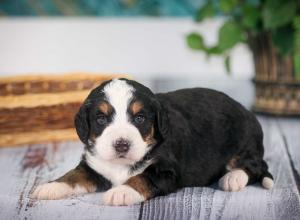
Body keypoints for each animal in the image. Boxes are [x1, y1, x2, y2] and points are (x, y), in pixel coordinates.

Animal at [32, 78, 274, 205]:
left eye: (140, 118)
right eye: (101, 119)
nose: (121, 144)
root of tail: (248, 112)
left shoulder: (166, 171)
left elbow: (142, 177)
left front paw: (121, 192)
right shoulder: (93, 165)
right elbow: (74, 175)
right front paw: (50, 186)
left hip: (245, 143)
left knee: (256, 166)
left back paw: (233, 178)